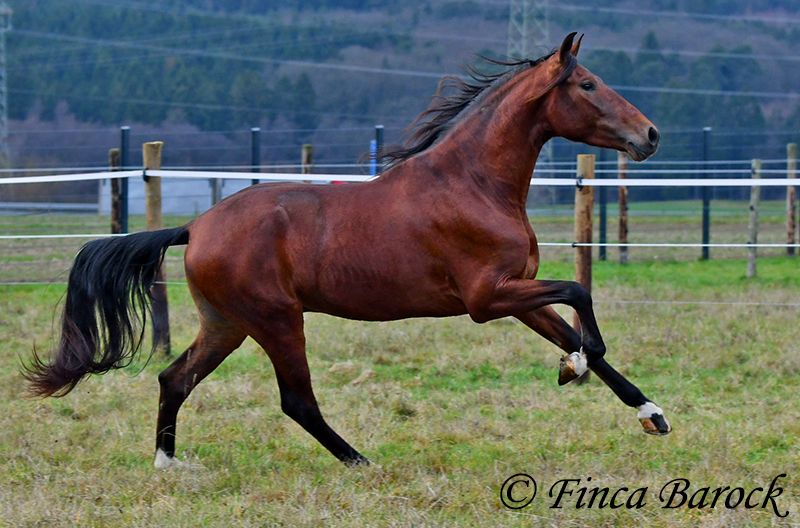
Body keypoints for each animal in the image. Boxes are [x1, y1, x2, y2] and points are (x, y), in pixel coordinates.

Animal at [24, 33, 670, 468]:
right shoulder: (488, 298)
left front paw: (650, 413)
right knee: (296, 402)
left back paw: (169, 466)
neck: (472, 183)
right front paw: (574, 367)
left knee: (174, 378)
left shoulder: (517, 293)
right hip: (276, 320)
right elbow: (582, 298)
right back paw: (361, 462)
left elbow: (574, 329)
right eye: (587, 85)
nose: (651, 135)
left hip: (227, 324)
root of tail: (197, 226)